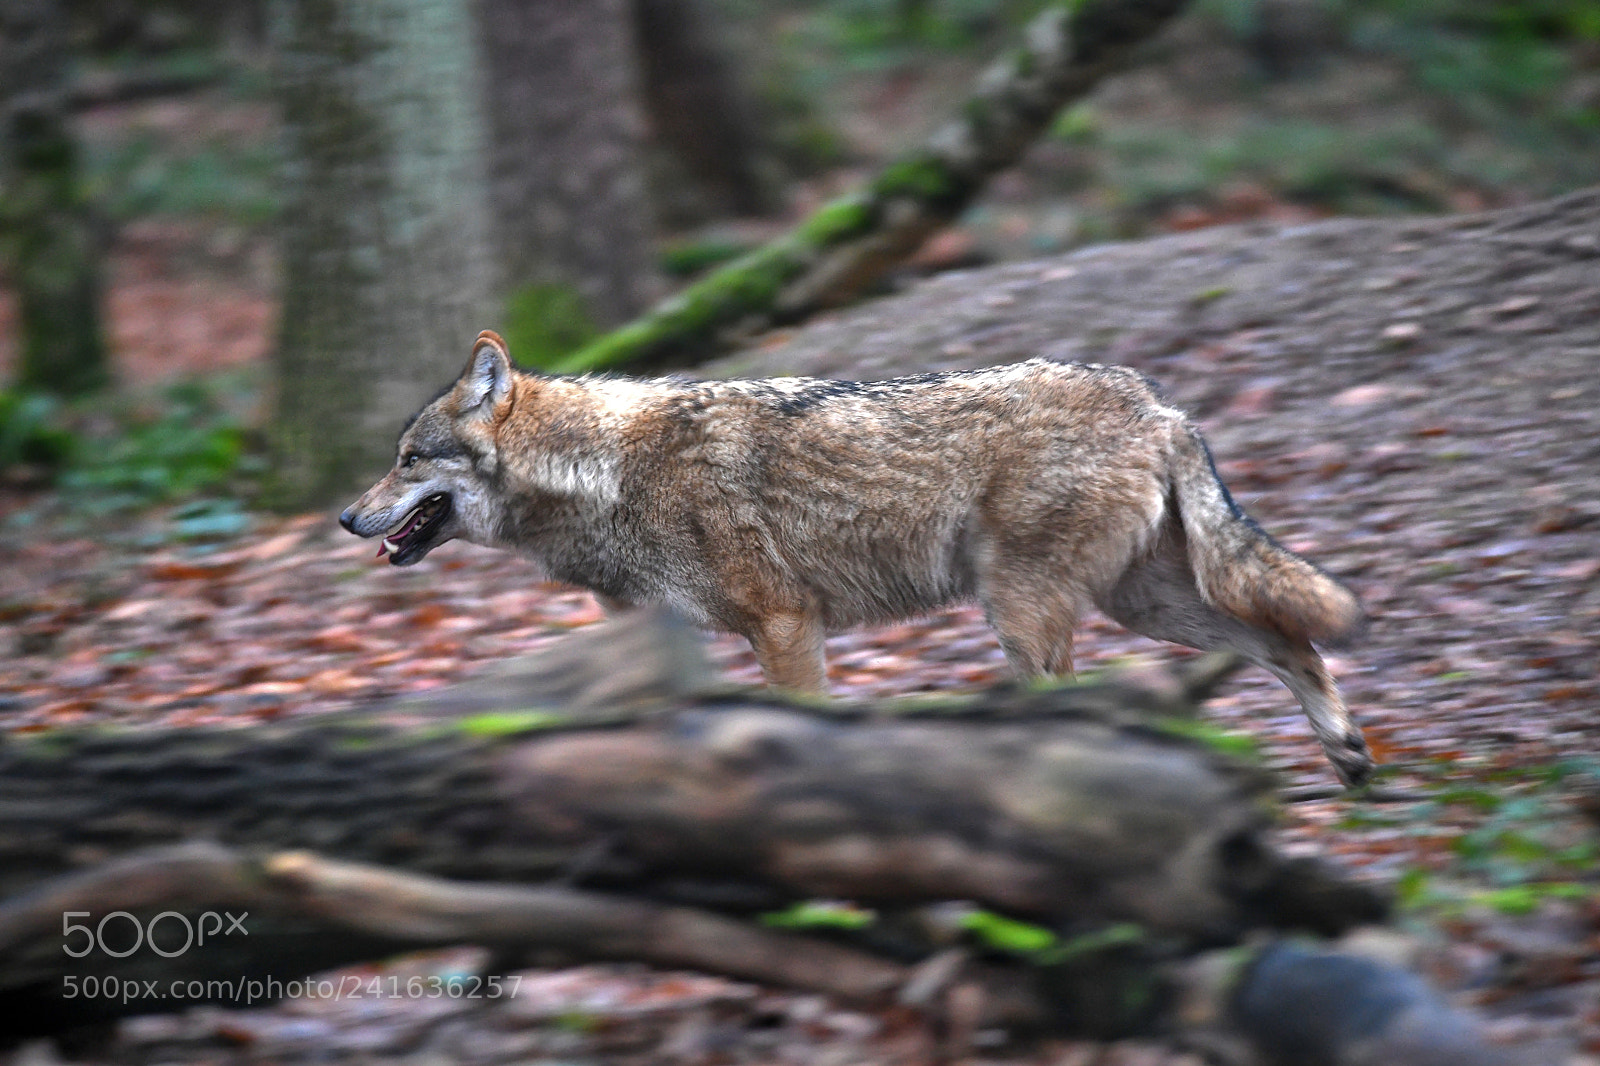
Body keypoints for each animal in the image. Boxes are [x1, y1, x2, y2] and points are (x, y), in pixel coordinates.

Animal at [341, 331, 1371, 785]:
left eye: (409, 459)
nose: (348, 516)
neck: (604, 473)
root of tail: (1159, 402)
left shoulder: (785, 625)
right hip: (1142, 607)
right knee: (1290, 641)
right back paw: (1350, 758)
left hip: (1025, 610)